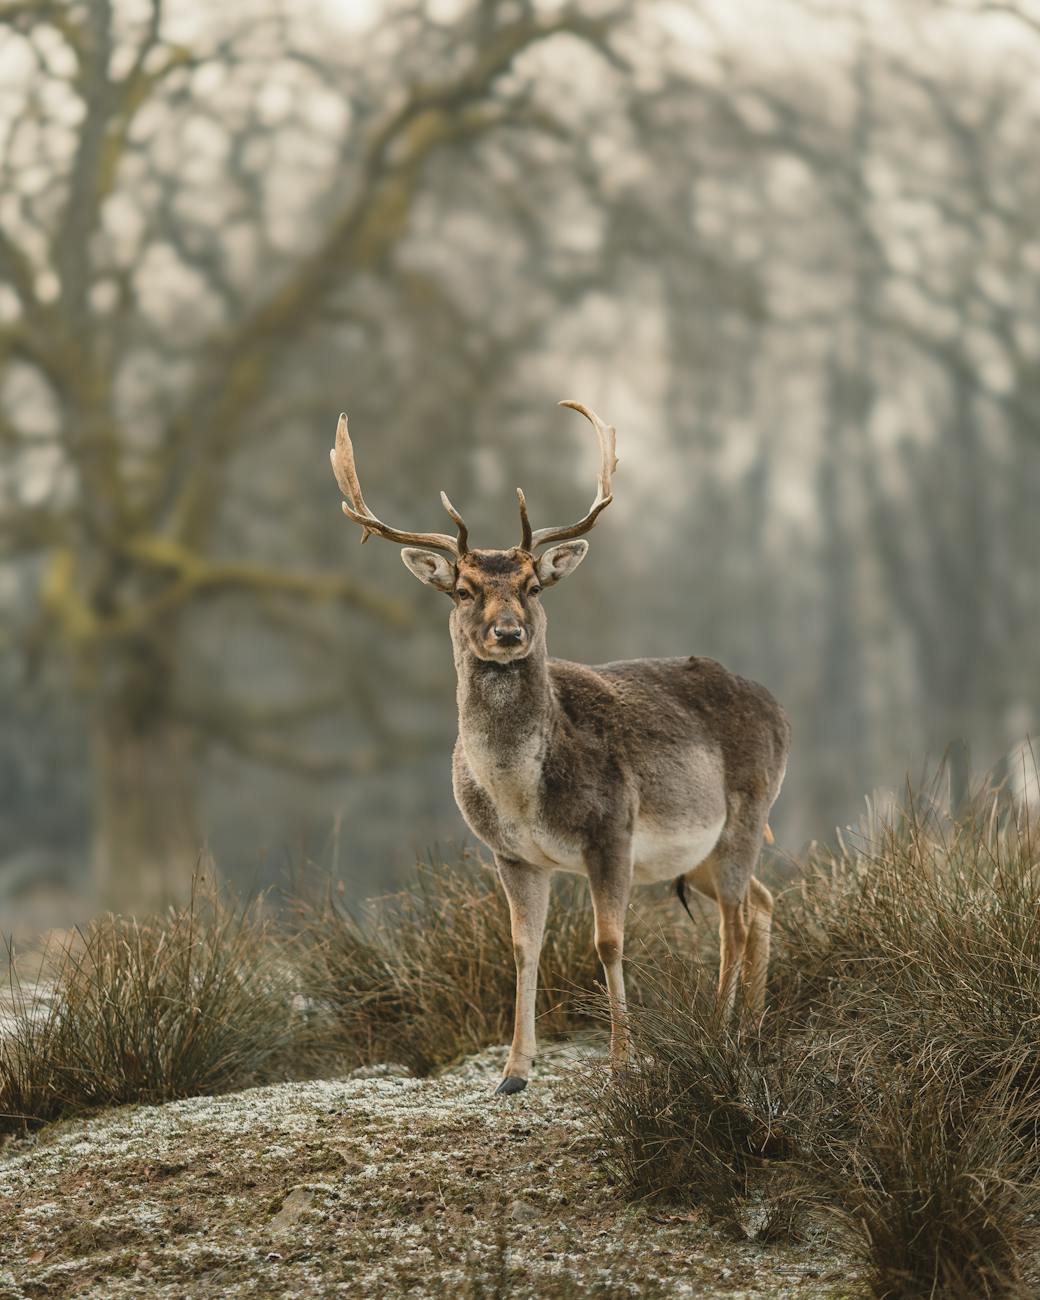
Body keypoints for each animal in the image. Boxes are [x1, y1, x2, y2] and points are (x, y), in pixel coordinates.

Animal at [330, 401, 790, 1095]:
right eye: (463, 589)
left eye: (534, 586)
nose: (508, 632)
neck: (521, 795)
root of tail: (780, 710)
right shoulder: (512, 854)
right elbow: (524, 946)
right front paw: (513, 1071)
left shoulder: (612, 828)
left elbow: (609, 941)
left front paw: (622, 1062)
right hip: (701, 855)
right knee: (760, 904)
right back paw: (753, 1030)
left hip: (746, 812)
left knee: (734, 921)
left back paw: (720, 1031)